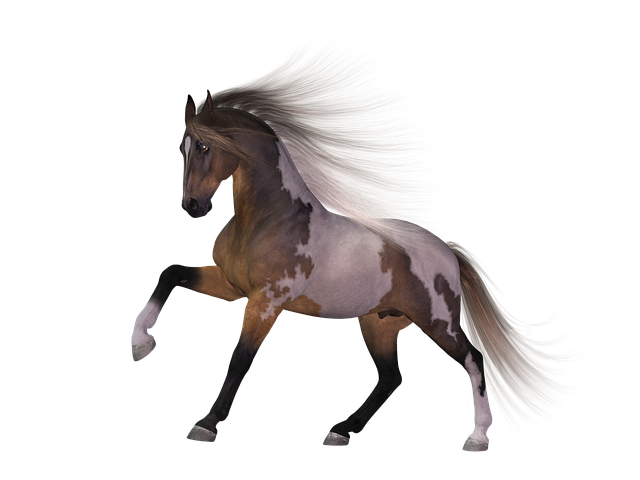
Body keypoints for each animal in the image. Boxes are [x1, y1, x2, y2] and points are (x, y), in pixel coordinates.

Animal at [129, 33, 587, 453]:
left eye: (205, 146)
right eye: (183, 147)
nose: (193, 206)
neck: (267, 220)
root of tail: (448, 253)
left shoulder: (265, 301)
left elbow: (240, 356)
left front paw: (205, 425)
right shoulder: (231, 284)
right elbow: (171, 273)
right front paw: (141, 345)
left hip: (437, 321)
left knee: (472, 358)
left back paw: (475, 438)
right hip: (379, 323)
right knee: (390, 377)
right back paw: (339, 432)